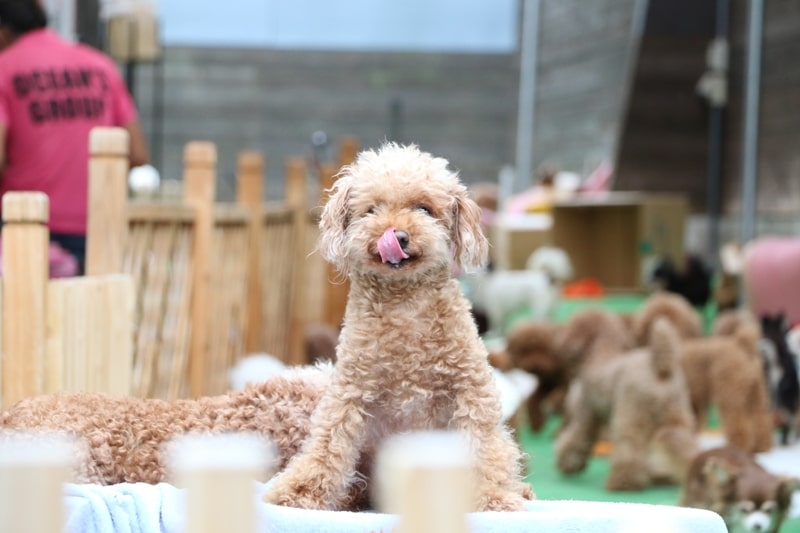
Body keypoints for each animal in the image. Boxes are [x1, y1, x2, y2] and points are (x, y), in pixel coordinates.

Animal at [266, 141, 536, 512]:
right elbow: (329, 440)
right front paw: (297, 491)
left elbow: (482, 446)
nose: (397, 236)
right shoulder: (350, 388)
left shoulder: (470, 385)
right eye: (371, 210)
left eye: (424, 208)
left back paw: (518, 490)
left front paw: (492, 498)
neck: (404, 302)